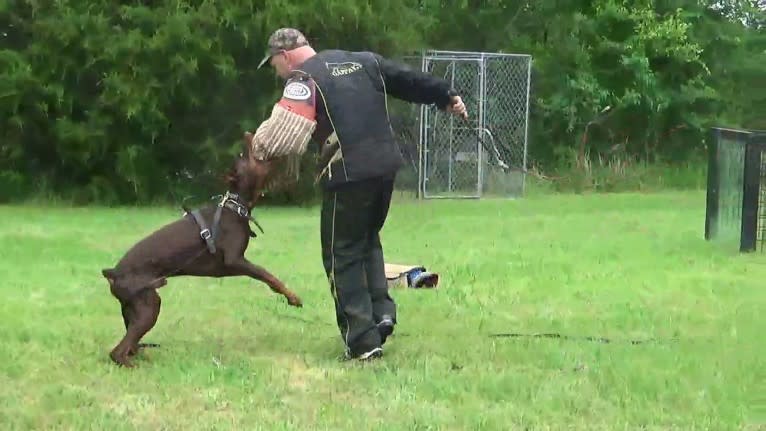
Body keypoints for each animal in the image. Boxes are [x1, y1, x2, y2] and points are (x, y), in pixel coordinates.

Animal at [96, 136, 300, 368]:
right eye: (243, 155)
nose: (247, 136)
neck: (235, 206)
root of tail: (113, 273)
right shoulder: (235, 260)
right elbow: (267, 275)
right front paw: (293, 297)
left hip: (132, 306)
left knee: (129, 342)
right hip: (148, 304)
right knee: (117, 351)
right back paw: (132, 364)